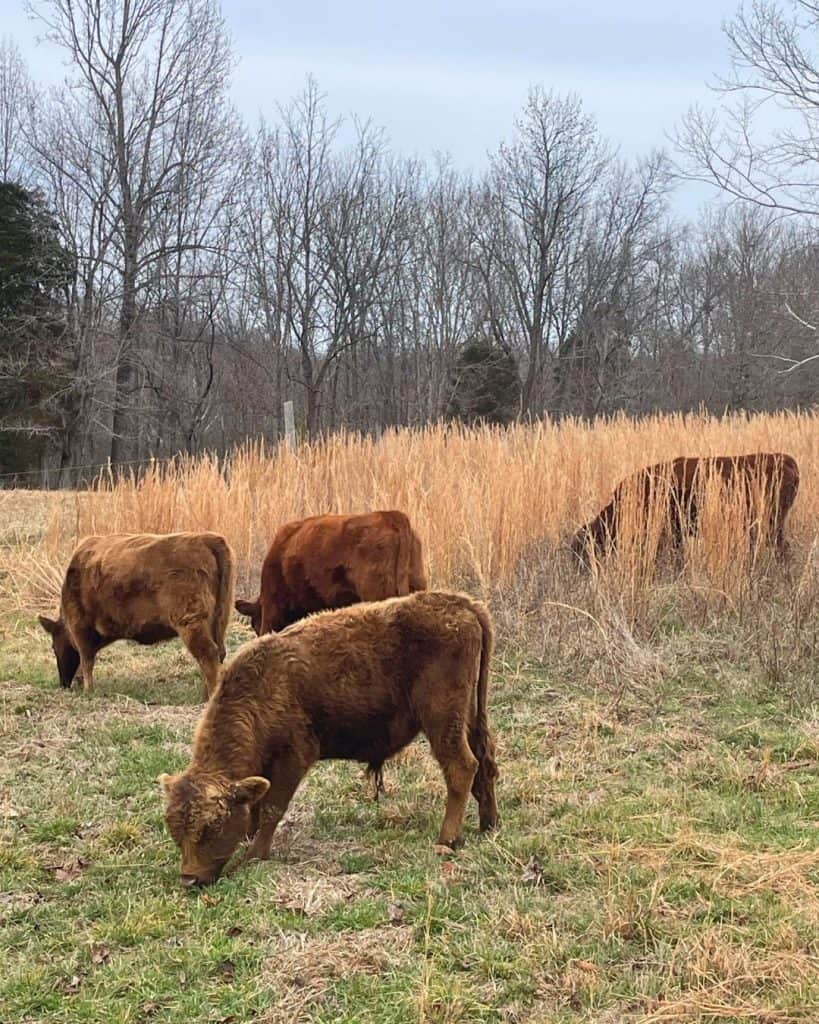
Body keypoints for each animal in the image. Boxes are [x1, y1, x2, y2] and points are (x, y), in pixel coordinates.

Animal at [38, 532, 235, 699]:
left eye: (53, 647)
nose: (63, 684)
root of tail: (206, 539)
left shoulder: (80, 626)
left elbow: (86, 658)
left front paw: (88, 690)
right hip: (219, 621)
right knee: (218, 654)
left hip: (190, 622)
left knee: (208, 654)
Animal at [159, 590, 499, 886]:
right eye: (173, 829)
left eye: (212, 825)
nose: (189, 879)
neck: (262, 689)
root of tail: (462, 604)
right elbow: (257, 806)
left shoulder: (293, 757)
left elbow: (272, 808)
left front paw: (253, 856)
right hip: (470, 715)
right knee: (485, 763)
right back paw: (488, 825)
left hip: (442, 719)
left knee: (461, 766)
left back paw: (447, 840)